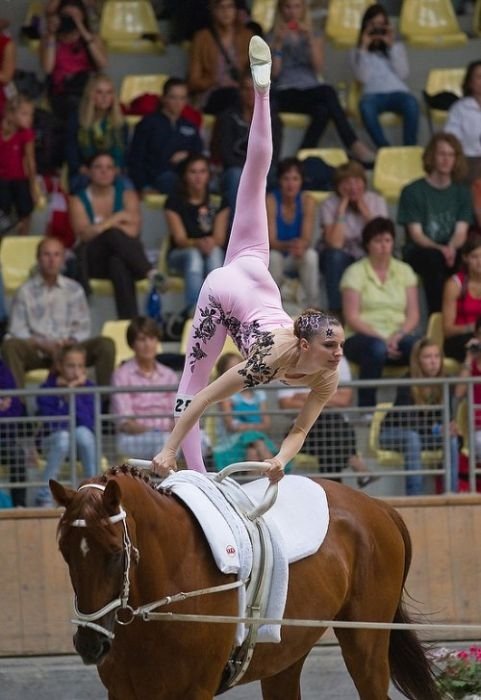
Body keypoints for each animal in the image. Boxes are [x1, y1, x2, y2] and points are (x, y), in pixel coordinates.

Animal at [50, 464, 440, 700]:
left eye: (116, 553)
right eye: (64, 551)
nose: (90, 644)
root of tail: (377, 506)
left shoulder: (195, 689)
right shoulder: (122, 691)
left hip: (366, 643)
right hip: (285, 654)